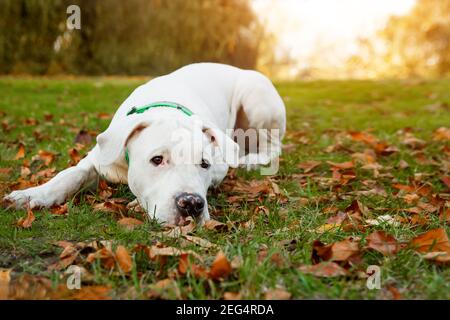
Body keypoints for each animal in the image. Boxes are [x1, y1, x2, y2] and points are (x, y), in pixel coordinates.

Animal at [4, 63, 284, 225]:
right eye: (157, 160)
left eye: (204, 164)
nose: (192, 204)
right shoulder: (97, 158)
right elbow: (69, 176)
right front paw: (31, 195)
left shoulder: (219, 168)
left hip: (256, 97)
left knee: (272, 145)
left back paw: (252, 160)